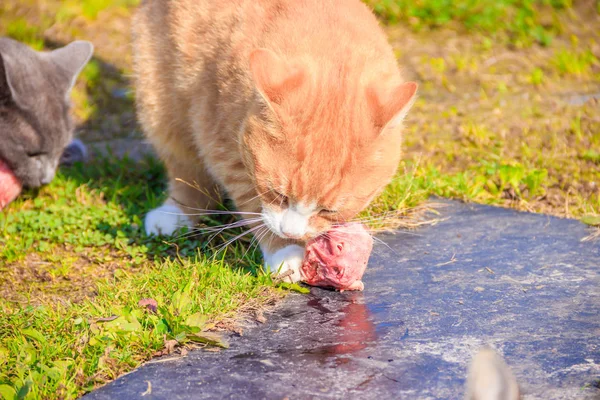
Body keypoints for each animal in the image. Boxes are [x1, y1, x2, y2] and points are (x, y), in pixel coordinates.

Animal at [132, 0, 418, 282]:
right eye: (278, 194)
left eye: (329, 211)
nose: (291, 233)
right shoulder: (217, 141)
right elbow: (250, 200)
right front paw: (285, 251)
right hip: (158, 97)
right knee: (184, 167)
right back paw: (175, 213)